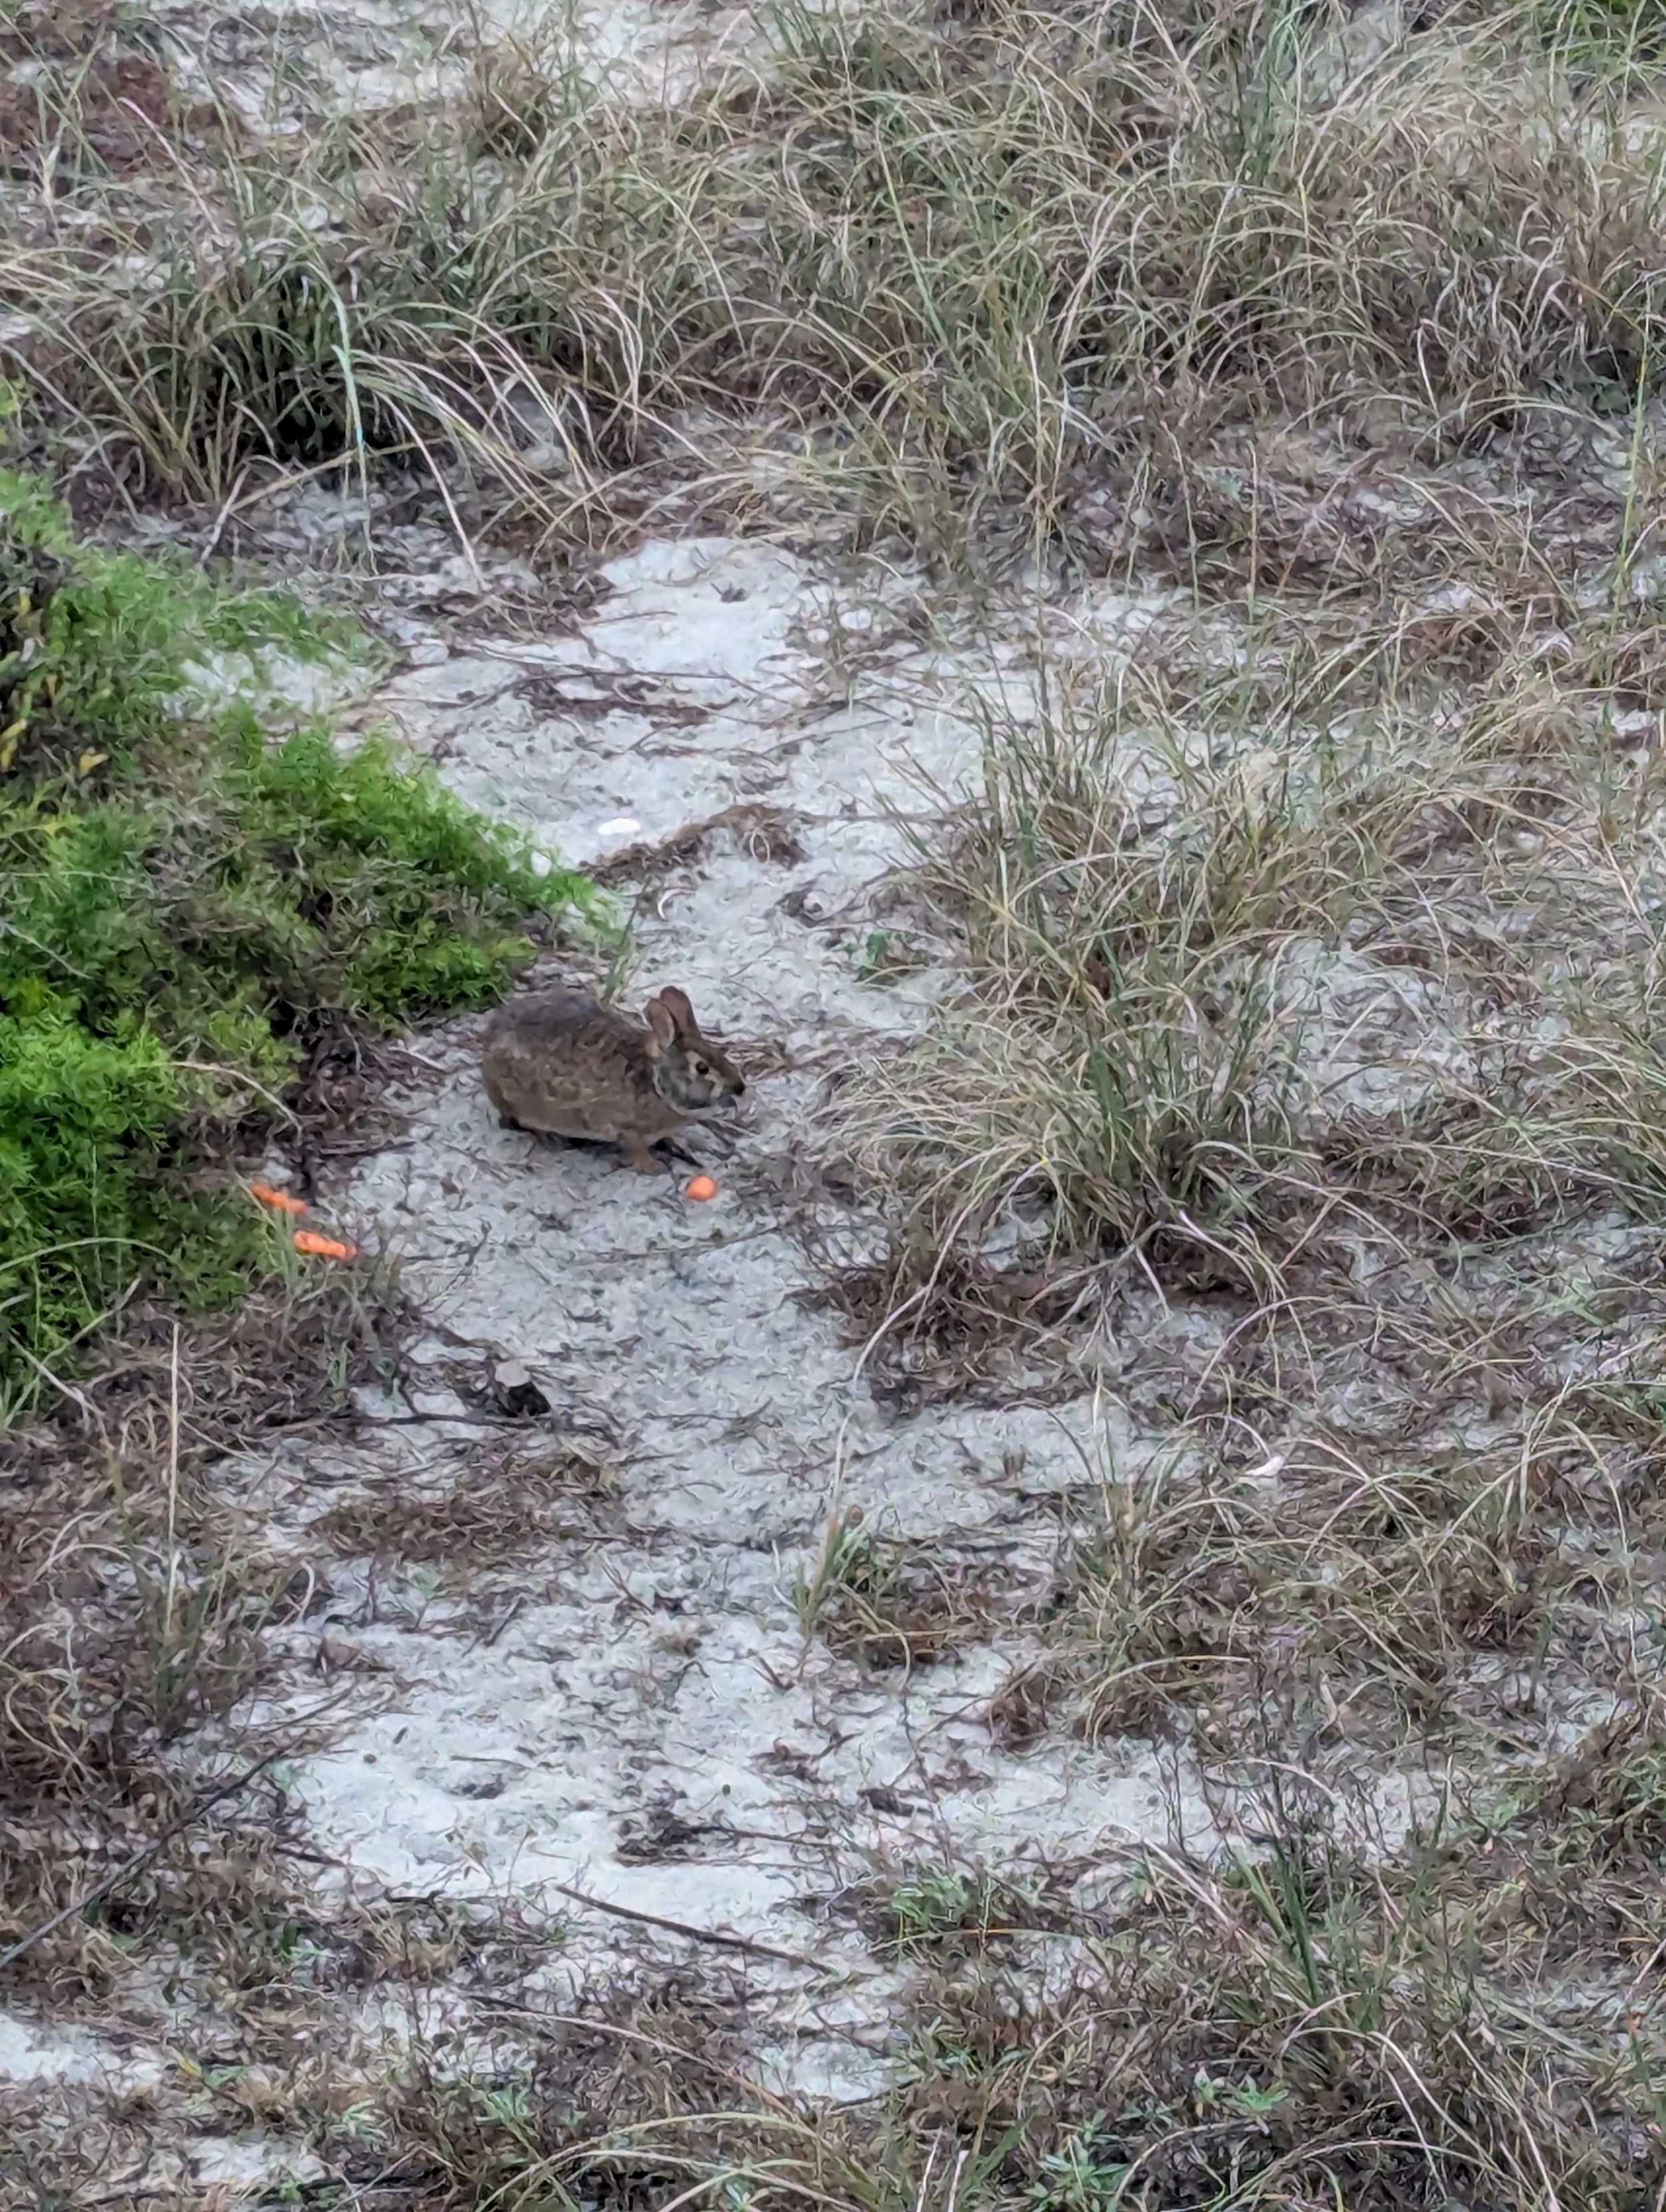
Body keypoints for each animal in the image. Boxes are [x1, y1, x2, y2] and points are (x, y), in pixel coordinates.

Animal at [481, 985, 745, 1172]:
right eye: (702, 1068)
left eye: (720, 1054)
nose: (740, 1088)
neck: (657, 1084)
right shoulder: (629, 1129)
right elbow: (638, 1149)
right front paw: (652, 1167)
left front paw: (679, 1145)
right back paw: (552, 1138)